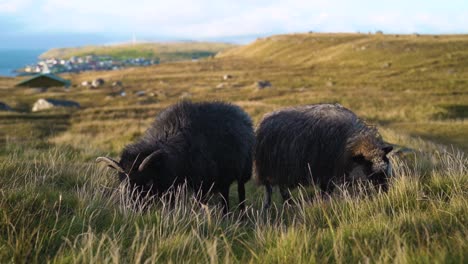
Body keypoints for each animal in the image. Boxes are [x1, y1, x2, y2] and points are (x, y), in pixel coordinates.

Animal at [96, 100, 254, 213]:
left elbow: (199, 203)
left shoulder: (200, 184)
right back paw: (225, 214)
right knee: (225, 194)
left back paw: (242, 216)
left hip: (244, 172)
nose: (131, 208)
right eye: (122, 181)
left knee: (241, 193)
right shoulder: (172, 187)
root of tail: (240, 112)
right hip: (224, 178)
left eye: (148, 183)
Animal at [254, 103, 394, 208]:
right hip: (272, 169)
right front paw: (324, 202)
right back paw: (282, 204)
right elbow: (326, 191)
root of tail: (264, 121)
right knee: (274, 189)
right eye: (369, 171)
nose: (385, 193)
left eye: (385, 171)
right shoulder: (327, 172)